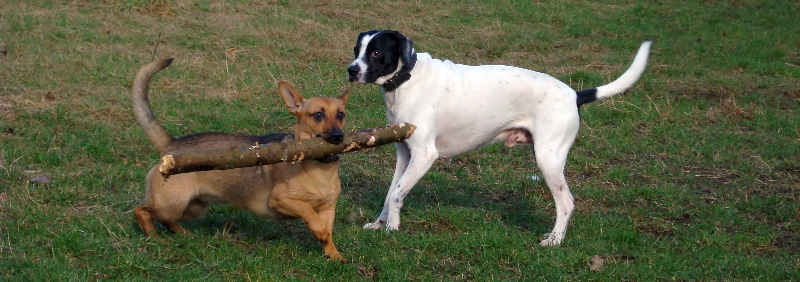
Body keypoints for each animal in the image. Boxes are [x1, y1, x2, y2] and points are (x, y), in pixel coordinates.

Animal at [131, 57, 350, 262]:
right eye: (318, 115)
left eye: (341, 115)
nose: (338, 136)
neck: (319, 168)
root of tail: (171, 144)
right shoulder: (281, 200)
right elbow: (312, 216)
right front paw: (320, 233)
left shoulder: (328, 209)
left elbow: (327, 231)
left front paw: (334, 255)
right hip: (170, 204)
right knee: (141, 211)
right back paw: (154, 237)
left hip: (193, 207)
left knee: (169, 221)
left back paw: (184, 235)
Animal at [346, 29, 648, 245]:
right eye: (356, 50)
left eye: (375, 52)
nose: (351, 70)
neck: (407, 80)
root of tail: (574, 94)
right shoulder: (404, 154)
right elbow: (390, 193)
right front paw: (380, 224)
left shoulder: (424, 155)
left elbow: (397, 194)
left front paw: (393, 228)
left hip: (548, 160)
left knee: (566, 203)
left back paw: (555, 241)